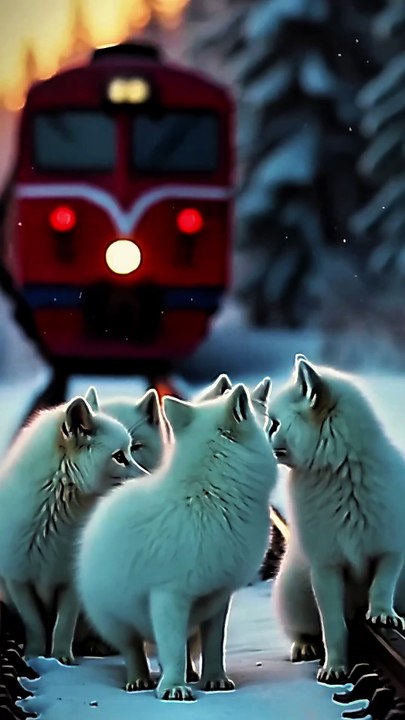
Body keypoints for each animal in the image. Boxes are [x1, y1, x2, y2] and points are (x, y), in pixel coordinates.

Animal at [0, 395, 141, 664]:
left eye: (130, 452)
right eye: (119, 456)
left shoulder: (70, 584)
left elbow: (63, 626)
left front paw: (61, 658)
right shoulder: (18, 580)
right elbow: (34, 624)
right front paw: (35, 656)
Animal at [76, 384, 277, 700]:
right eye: (266, 426)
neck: (210, 496)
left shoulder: (218, 597)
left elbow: (213, 646)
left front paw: (214, 679)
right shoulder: (168, 596)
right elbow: (172, 650)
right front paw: (173, 686)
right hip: (116, 622)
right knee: (134, 651)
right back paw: (139, 679)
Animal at [269, 354, 405, 684]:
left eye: (274, 423)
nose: (262, 434)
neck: (340, 470)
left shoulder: (391, 548)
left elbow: (382, 584)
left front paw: (383, 614)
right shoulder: (325, 568)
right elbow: (332, 627)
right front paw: (335, 668)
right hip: (292, 592)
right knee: (303, 630)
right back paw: (304, 646)